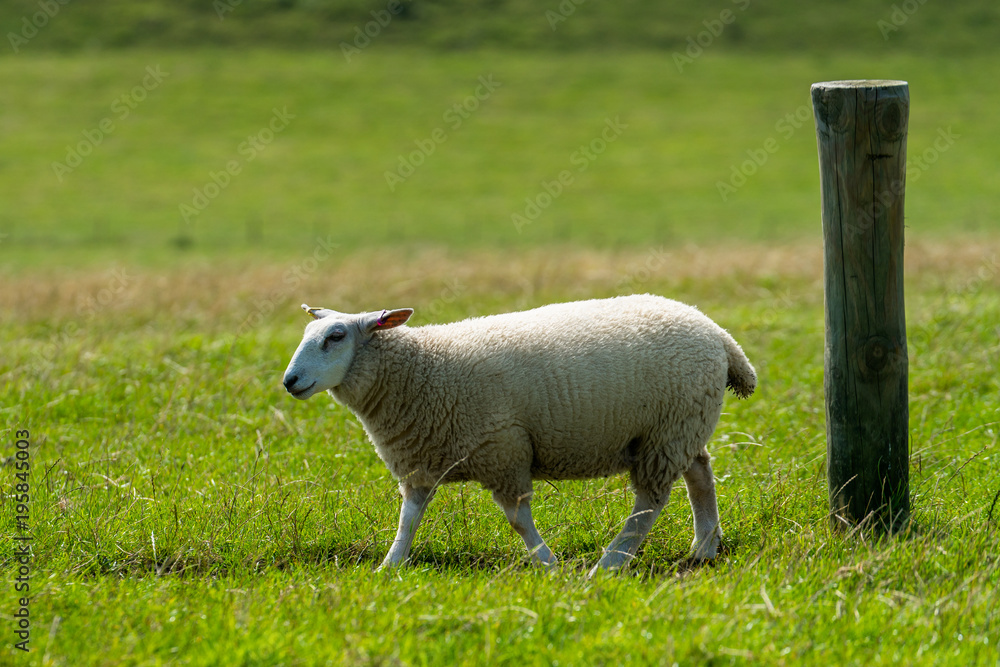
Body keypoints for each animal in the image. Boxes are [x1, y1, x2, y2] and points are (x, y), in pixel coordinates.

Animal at [282, 294, 756, 573]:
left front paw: (547, 562)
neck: (424, 370)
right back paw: (704, 546)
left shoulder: (503, 449)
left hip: (667, 432)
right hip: (679, 429)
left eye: (336, 336)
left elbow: (517, 519)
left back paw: (610, 562)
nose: (289, 381)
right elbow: (409, 518)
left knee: (649, 503)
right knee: (700, 475)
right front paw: (390, 565)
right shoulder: (421, 460)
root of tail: (719, 334)